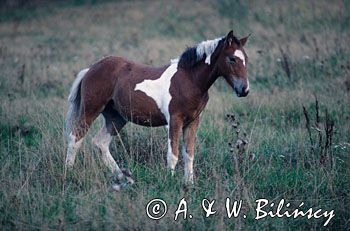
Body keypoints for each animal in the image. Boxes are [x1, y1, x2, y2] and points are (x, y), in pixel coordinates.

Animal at [63, 30, 249, 189]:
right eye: (232, 58)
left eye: (246, 58)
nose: (244, 90)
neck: (189, 80)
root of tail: (90, 68)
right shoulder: (175, 120)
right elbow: (173, 154)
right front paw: (170, 182)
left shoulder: (193, 121)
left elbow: (189, 154)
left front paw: (189, 184)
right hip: (90, 109)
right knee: (75, 138)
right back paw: (69, 173)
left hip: (116, 117)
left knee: (100, 143)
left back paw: (124, 178)